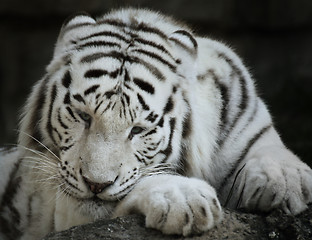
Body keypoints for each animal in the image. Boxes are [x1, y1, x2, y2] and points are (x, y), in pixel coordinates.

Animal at [0, 8, 312, 239]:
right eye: (83, 116)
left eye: (138, 130)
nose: (96, 184)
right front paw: (184, 198)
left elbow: (268, 149)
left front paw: (285, 182)